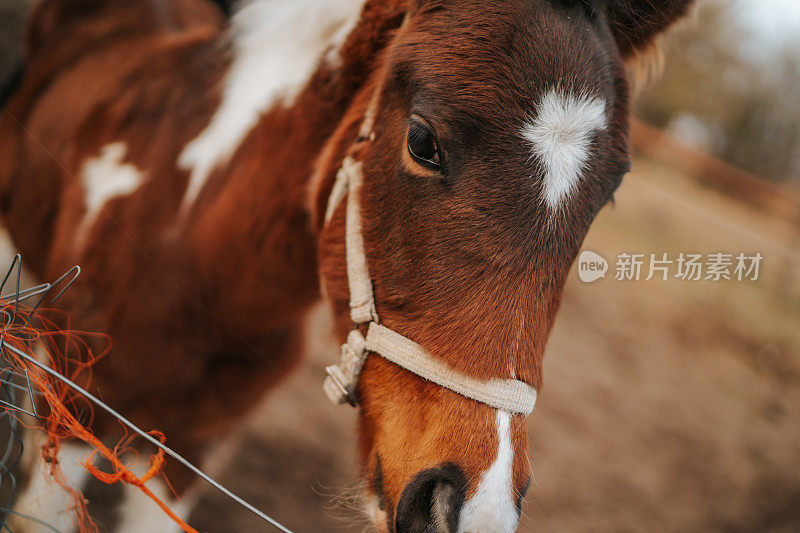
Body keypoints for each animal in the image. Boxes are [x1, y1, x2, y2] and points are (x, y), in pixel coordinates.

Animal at [0, 0, 692, 528]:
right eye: (422, 141)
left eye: (605, 198)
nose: (472, 511)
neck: (187, 256)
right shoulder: (74, 415)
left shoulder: (195, 452)